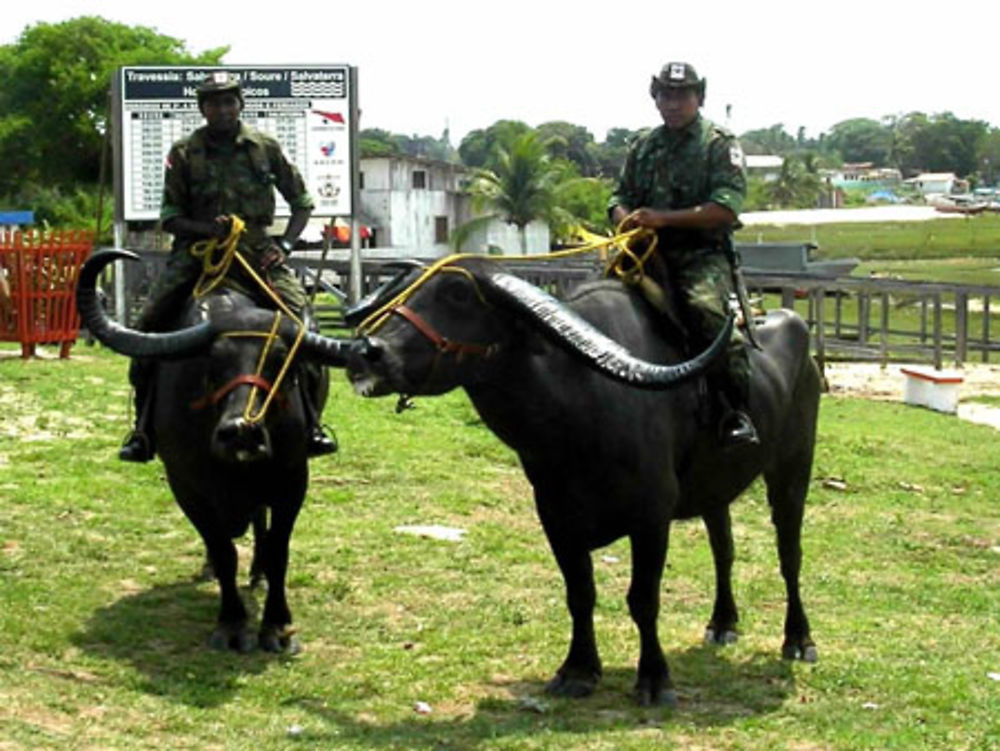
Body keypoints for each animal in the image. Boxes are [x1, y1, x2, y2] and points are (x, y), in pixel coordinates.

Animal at [79, 250, 360, 656]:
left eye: (282, 362)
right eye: (211, 364)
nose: (242, 432)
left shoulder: (292, 479)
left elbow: (278, 551)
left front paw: (277, 626)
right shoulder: (185, 485)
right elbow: (224, 550)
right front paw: (231, 624)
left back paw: (257, 572)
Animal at [346, 258, 820, 704]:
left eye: (459, 294)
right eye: (410, 287)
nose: (366, 353)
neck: (577, 412)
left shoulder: (652, 516)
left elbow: (643, 600)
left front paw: (654, 679)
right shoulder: (556, 517)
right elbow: (580, 594)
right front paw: (577, 670)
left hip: (793, 470)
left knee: (790, 555)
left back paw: (798, 639)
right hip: (714, 487)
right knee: (724, 550)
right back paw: (723, 623)